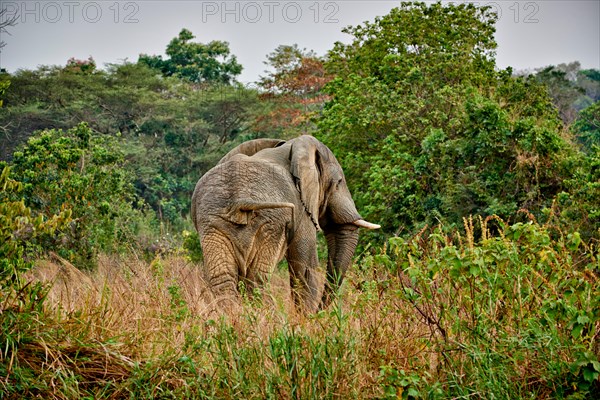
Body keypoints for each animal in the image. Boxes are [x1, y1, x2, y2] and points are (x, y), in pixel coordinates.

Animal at [192, 136, 380, 310]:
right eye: (339, 182)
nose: (320, 310)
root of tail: (239, 202)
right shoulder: (302, 209)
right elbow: (305, 268)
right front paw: (307, 319)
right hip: (269, 222)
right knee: (257, 278)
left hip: (213, 223)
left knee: (224, 278)